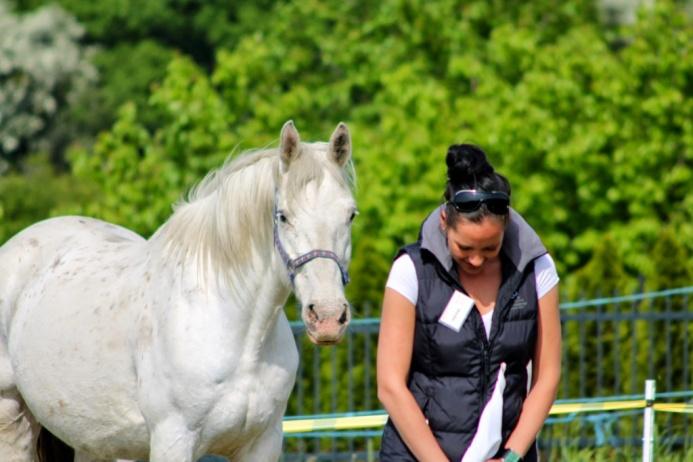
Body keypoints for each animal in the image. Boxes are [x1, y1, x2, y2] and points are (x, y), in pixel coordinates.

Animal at [0, 121, 356, 460]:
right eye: (283, 216)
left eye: (351, 214)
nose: (327, 317)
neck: (242, 340)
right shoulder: (173, 440)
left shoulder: (262, 444)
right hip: (13, 417)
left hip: (94, 441)